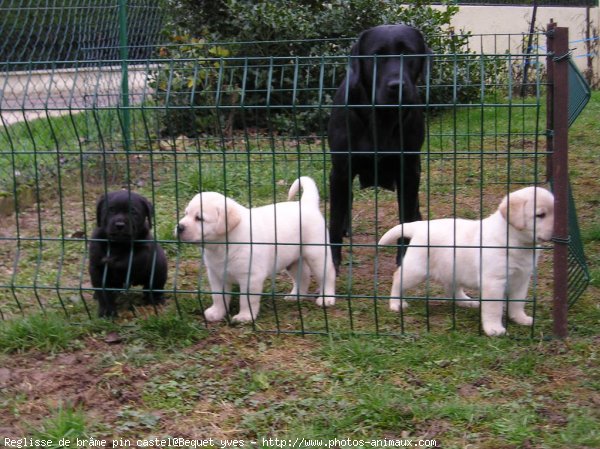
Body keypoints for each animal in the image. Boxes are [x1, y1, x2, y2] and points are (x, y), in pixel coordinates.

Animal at [176, 175, 336, 322]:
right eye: (186, 213)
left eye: (199, 218)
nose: (179, 227)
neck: (221, 246)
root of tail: (306, 204)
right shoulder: (216, 275)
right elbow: (218, 297)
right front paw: (216, 313)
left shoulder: (250, 277)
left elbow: (246, 299)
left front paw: (244, 317)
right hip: (293, 260)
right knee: (303, 276)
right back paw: (295, 296)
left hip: (316, 254)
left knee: (328, 275)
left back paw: (326, 299)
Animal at [328, 23, 432, 270]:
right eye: (377, 56)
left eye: (409, 54)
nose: (397, 86)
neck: (382, 118)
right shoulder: (340, 169)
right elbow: (334, 219)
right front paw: (332, 262)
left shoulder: (409, 169)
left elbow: (406, 215)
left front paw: (404, 258)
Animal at [378, 186, 556, 336]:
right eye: (540, 215)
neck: (516, 241)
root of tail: (420, 226)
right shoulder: (494, 282)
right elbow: (494, 308)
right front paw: (494, 329)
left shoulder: (522, 278)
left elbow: (518, 302)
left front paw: (520, 318)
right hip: (416, 270)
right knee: (397, 278)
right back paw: (396, 303)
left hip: (453, 269)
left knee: (453, 291)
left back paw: (467, 302)